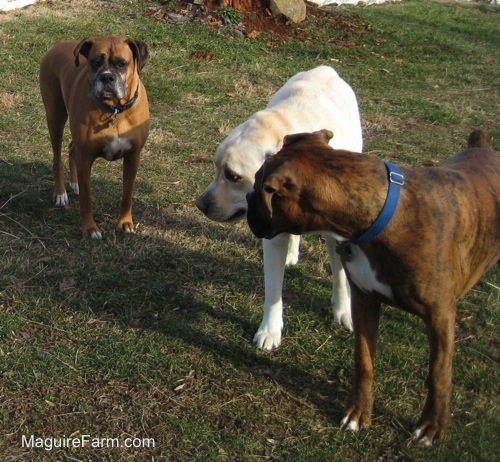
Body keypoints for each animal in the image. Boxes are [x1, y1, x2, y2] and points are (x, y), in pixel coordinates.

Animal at [40, 36, 149, 238]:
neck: (114, 109)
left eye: (121, 64)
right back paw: (60, 194)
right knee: (57, 158)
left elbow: (127, 194)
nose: (107, 77)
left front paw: (125, 222)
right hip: (55, 116)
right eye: (96, 62)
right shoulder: (85, 159)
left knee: (71, 148)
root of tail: (59, 43)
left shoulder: (133, 157)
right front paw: (90, 228)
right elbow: (87, 199)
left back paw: (74, 183)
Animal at [193, 67, 362, 350]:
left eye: (233, 176)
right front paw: (270, 330)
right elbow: (273, 290)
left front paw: (344, 312)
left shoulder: (338, 237)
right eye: (215, 168)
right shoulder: (271, 234)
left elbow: (340, 277)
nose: (200, 204)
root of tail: (324, 69)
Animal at [247, 128, 500, 446]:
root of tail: (483, 146)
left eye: (260, 187)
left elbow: (439, 373)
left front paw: (432, 425)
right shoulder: (366, 301)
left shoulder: (440, 317)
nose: (247, 197)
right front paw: (359, 412)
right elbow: (364, 361)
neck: (380, 218)